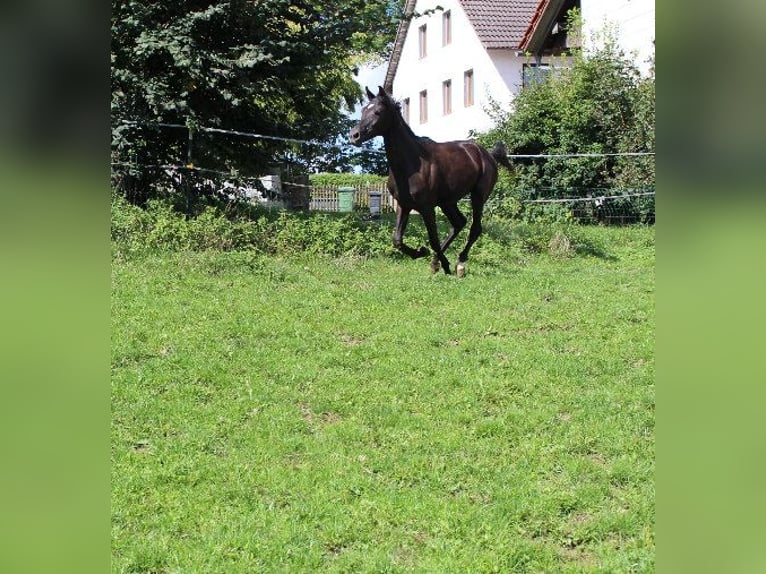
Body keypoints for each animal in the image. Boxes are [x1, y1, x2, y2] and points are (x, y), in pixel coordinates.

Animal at [352, 86, 512, 278]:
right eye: (363, 110)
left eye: (378, 111)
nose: (354, 135)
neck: (413, 163)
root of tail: (488, 155)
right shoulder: (404, 204)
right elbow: (397, 239)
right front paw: (422, 253)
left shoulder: (426, 207)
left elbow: (433, 239)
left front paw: (439, 261)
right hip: (447, 202)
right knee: (459, 223)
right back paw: (436, 262)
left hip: (478, 196)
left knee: (475, 228)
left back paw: (459, 264)